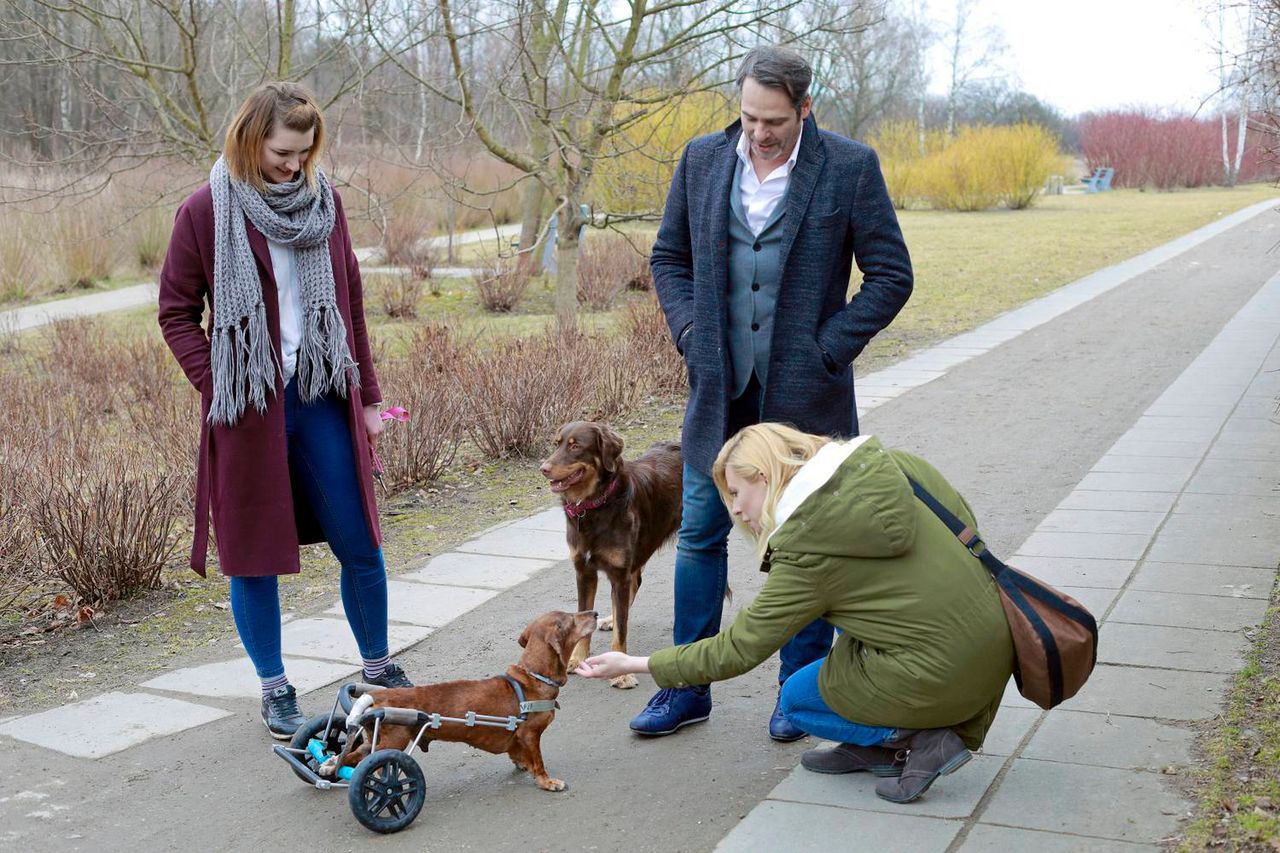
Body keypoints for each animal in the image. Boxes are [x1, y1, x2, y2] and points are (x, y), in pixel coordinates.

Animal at [325, 607, 593, 788]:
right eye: (572, 618)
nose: (595, 612)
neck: (531, 679)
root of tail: (377, 697)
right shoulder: (531, 734)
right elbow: (538, 762)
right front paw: (547, 782)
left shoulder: (519, 738)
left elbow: (519, 755)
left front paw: (523, 765)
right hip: (393, 742)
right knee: (361, 760)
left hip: (377, 739)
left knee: (353, 754)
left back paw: (327, 765)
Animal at [537, 422, 686, 686]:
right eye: (557, 443)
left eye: (575, 446)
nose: (543, 469)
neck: (594, 505)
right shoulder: (584, 572)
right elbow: (583, 618)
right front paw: (577, 659)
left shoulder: (619, 573)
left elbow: (622, 631)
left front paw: (621, 672)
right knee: (634, 585)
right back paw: (609, 618)